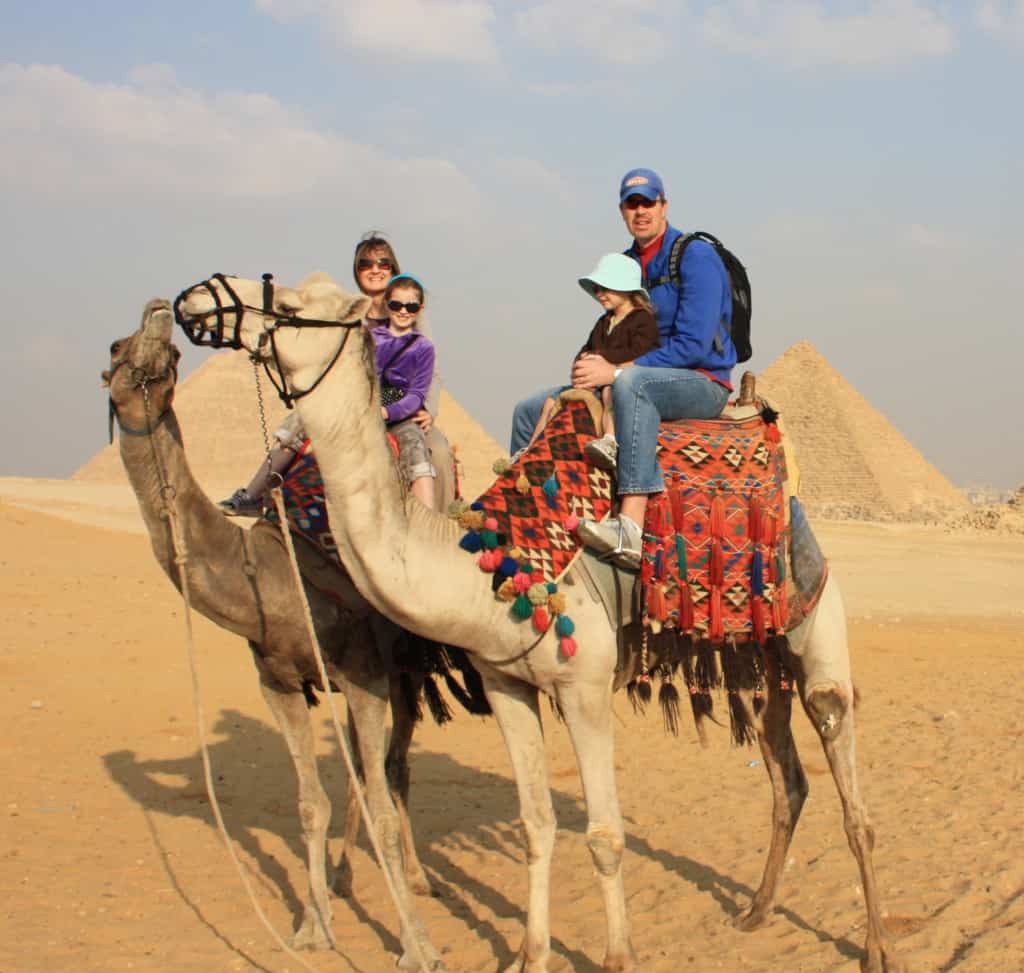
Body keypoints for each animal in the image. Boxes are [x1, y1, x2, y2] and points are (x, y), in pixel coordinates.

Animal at [107, 301, 452, 970]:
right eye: (116, 348)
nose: (158, 312)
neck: (271, 573)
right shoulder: (280, 681)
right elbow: (310, 803)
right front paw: (312, 927)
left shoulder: (367, 675)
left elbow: (381, 798)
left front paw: (418, 944)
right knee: (362, 772)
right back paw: (345, 878)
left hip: (405, 671)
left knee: (393, 769)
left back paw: (417, 878)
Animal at [176, 272, 905, 973]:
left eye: (296, 303)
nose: (197, 300)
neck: (488, 565)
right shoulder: (506, 685)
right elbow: (536, 824)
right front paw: (529, 954)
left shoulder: (585, 687)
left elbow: (605, 834)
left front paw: (617, 956)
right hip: (756, 660)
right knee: (788, 778)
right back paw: (754, 912)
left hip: (814, 623)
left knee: (849, 782)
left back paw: (874, 947)